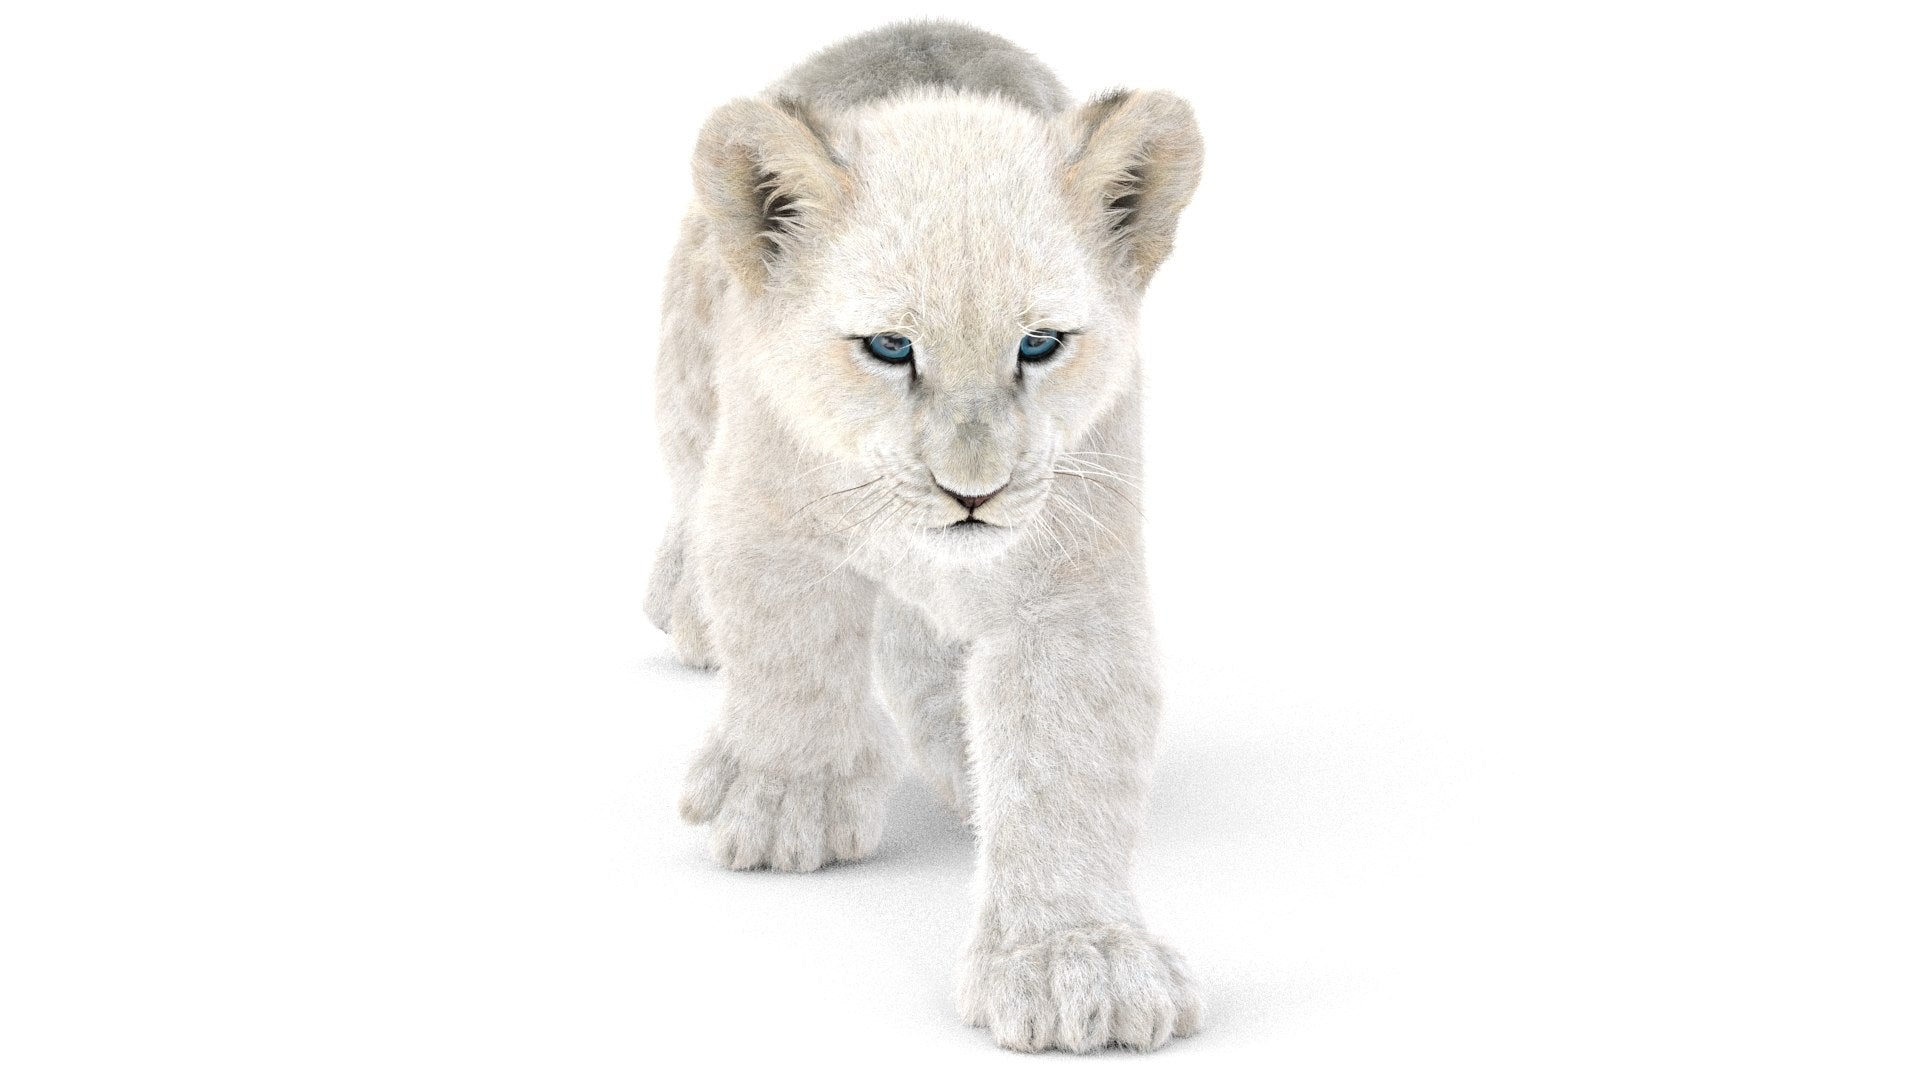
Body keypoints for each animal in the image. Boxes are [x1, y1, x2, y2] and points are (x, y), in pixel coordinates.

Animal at [645, 19, 1206, 1053]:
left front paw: (1078, 960)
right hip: (689, 363)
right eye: (890, 347)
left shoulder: (1071, 577)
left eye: (1040, 345)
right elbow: (788, 654)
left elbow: (1064, 753)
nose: (970, 494)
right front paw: (788, 802)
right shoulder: (767, 502)